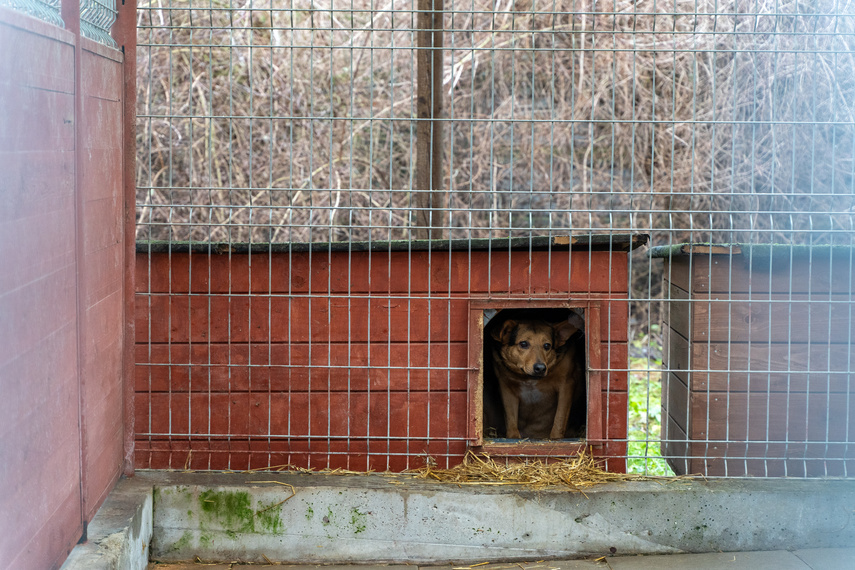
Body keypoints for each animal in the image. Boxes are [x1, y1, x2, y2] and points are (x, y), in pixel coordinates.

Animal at [488, 310, 588, 440]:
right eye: (523, 343)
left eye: (547, 345)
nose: (540, 368)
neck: (529, 378)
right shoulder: (506, 387)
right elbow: (511, 421)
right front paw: (513, 438)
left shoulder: (567, 384)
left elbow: (559, 420)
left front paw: (555, 439)